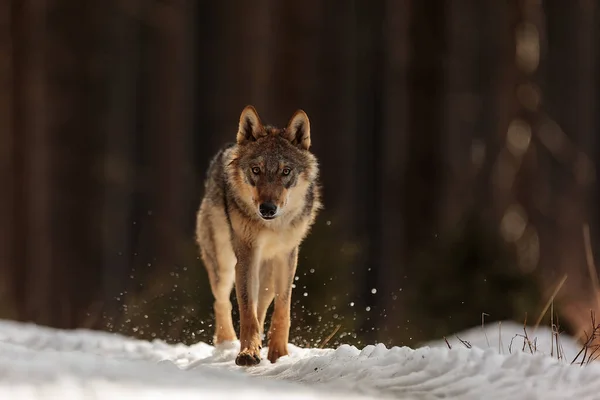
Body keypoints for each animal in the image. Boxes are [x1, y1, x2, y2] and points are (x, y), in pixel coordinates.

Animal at [196, 105, 318, 366]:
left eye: (285, 171)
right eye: (256, 170)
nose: (268, 209)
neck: (272, 227)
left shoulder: (287, 256)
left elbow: (282, 309)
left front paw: (279, 354)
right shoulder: (246, 254)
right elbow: (245, 308)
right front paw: (247, 353)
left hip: (268, 273)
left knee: (262, 306)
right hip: (223, 264)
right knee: (222, 301)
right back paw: (226, 342)